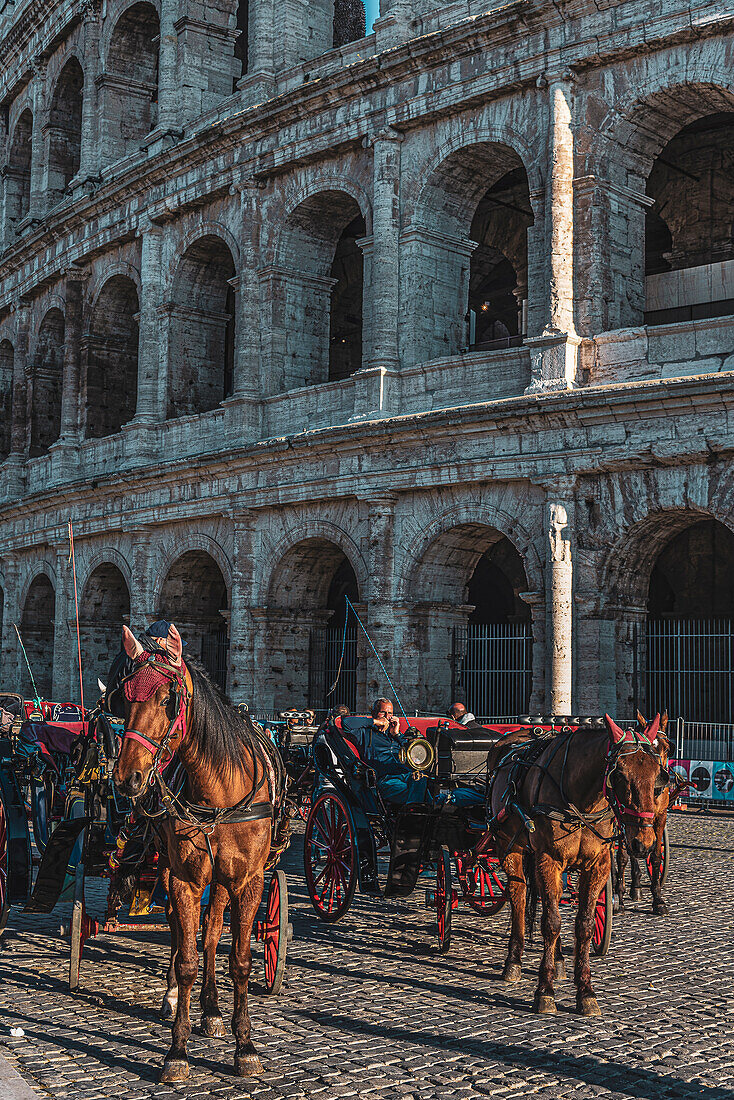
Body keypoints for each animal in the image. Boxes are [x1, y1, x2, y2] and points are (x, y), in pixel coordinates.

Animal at [112, 629, 278, 1082]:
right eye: (123, 699)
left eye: (167, 699)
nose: (128, 778)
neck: (220, 791)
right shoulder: (184, 878)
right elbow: (186, 956)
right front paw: (178, 1050)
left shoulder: (248, 880)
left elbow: (239, 959)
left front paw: (245, 1045)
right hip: (170, 868)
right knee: (178, 929)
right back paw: (173, 996)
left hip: (221, 883)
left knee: (214, 930)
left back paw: (212, 1008)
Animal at [488, 712, 673, 1012]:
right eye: (618, 774)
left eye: (658, 773)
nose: (642, 841)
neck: (581, 802)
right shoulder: (548, 859)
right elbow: (551, 922)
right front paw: (545, 990)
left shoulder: (598, 864)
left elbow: (584, 925)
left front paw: (585, 991)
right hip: (509, 845)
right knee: (519, 896)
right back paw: (514, 960)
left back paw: (559, 960)